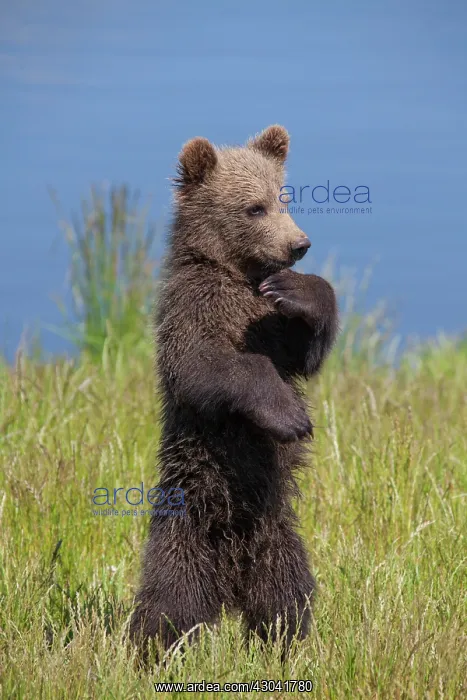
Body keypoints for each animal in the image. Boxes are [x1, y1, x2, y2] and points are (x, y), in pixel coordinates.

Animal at [130, 125, 338, 657]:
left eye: (283, 197)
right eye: (254, 208)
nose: (299, 244)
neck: (237, 273)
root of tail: (230, 584)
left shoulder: (269, 323)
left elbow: (303, 350)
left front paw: (298, 288)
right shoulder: (195, 308)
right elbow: (209, 367)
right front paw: (290, 417)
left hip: (279, 538)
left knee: (287, 597)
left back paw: (285, 644)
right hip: (185, 530)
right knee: (171, 601)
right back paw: (155, 650)